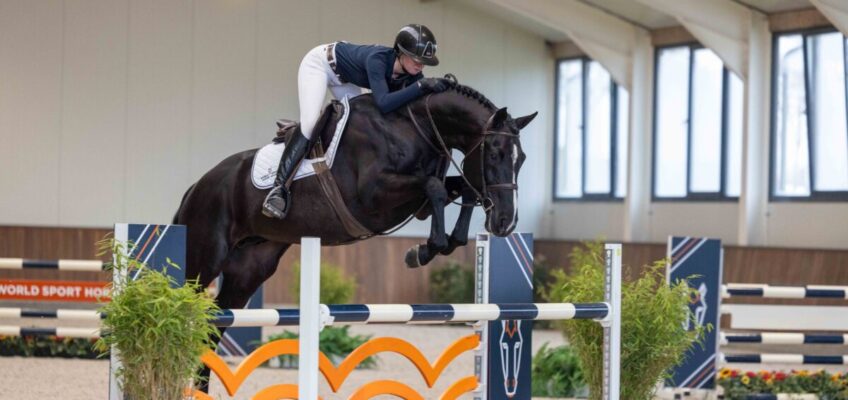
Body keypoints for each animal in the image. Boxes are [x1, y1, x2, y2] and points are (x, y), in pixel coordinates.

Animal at [173, 81, 536, 387]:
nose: (506, 222)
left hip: (250, 269)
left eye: (522, 160)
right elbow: (435, 187)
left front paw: (437, 246)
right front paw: (424, 250)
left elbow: (461, 190)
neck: (416, 126)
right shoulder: (374, 196)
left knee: (215, 325)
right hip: (204, 258)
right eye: (494, 154)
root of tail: (197, 185)